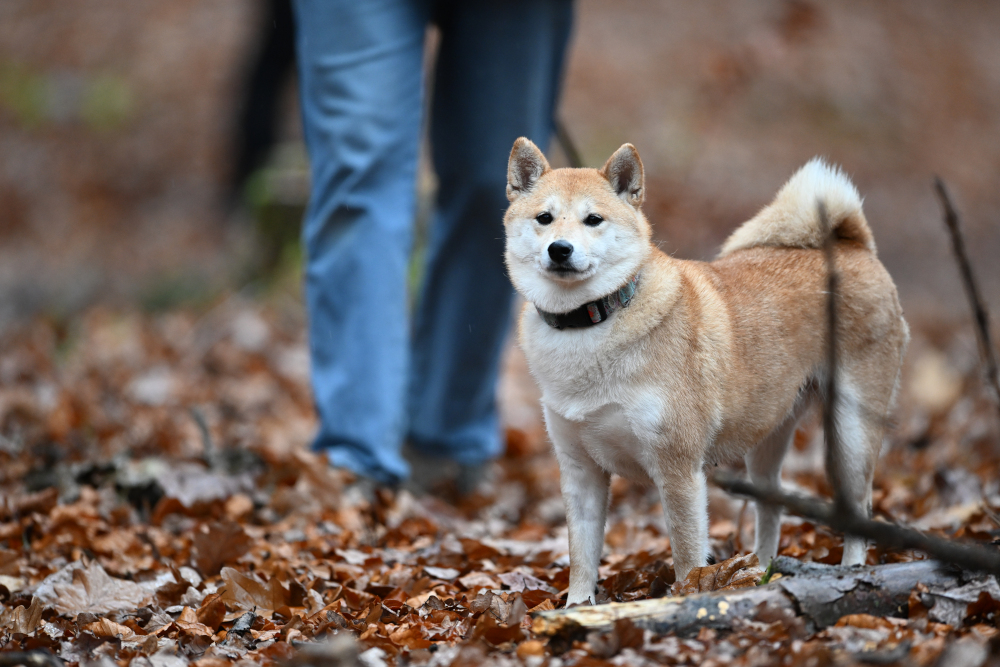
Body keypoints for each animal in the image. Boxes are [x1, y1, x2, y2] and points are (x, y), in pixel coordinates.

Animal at [504, 140, 912, 604]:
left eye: (593, 219)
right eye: (544, 218)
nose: (560, 248)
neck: (592, 323)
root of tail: (853, 245)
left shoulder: (678, 469)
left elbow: (685, 553)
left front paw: (686, 597)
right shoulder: (579, 470)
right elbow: (582, 556)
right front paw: (576, 608)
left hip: (851, 437)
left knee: (860, 508)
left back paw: (852, 572)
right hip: (767, 441)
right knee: (771, 504)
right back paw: (759, 572)